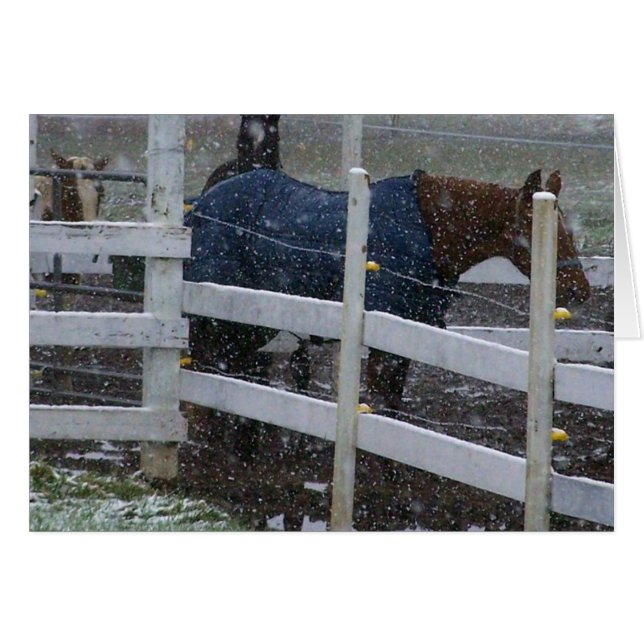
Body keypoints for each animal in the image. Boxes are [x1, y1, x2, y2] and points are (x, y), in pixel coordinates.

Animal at [185, 167, 590, 425]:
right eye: (541, 231)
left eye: (568, 228)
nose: (580, 289)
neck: (427, 228)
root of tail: (201, 206)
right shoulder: (384, 344)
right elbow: (386, 407)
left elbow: (394, 406)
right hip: (217, 321)